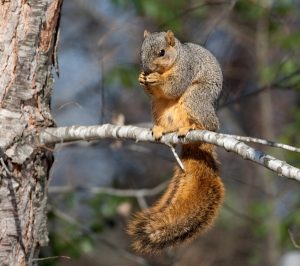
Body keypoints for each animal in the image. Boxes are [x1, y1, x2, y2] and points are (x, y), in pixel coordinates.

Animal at [127, 30, 225, 255]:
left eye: (162, 52)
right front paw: (142, 78)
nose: (146, 69)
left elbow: (173, 86)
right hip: (158, 107)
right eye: (141, 50)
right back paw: (161, 129)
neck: (176, 58)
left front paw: (156, 79)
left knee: (209, 123)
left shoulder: (186, 69)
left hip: (196, 99)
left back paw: (193, 128)